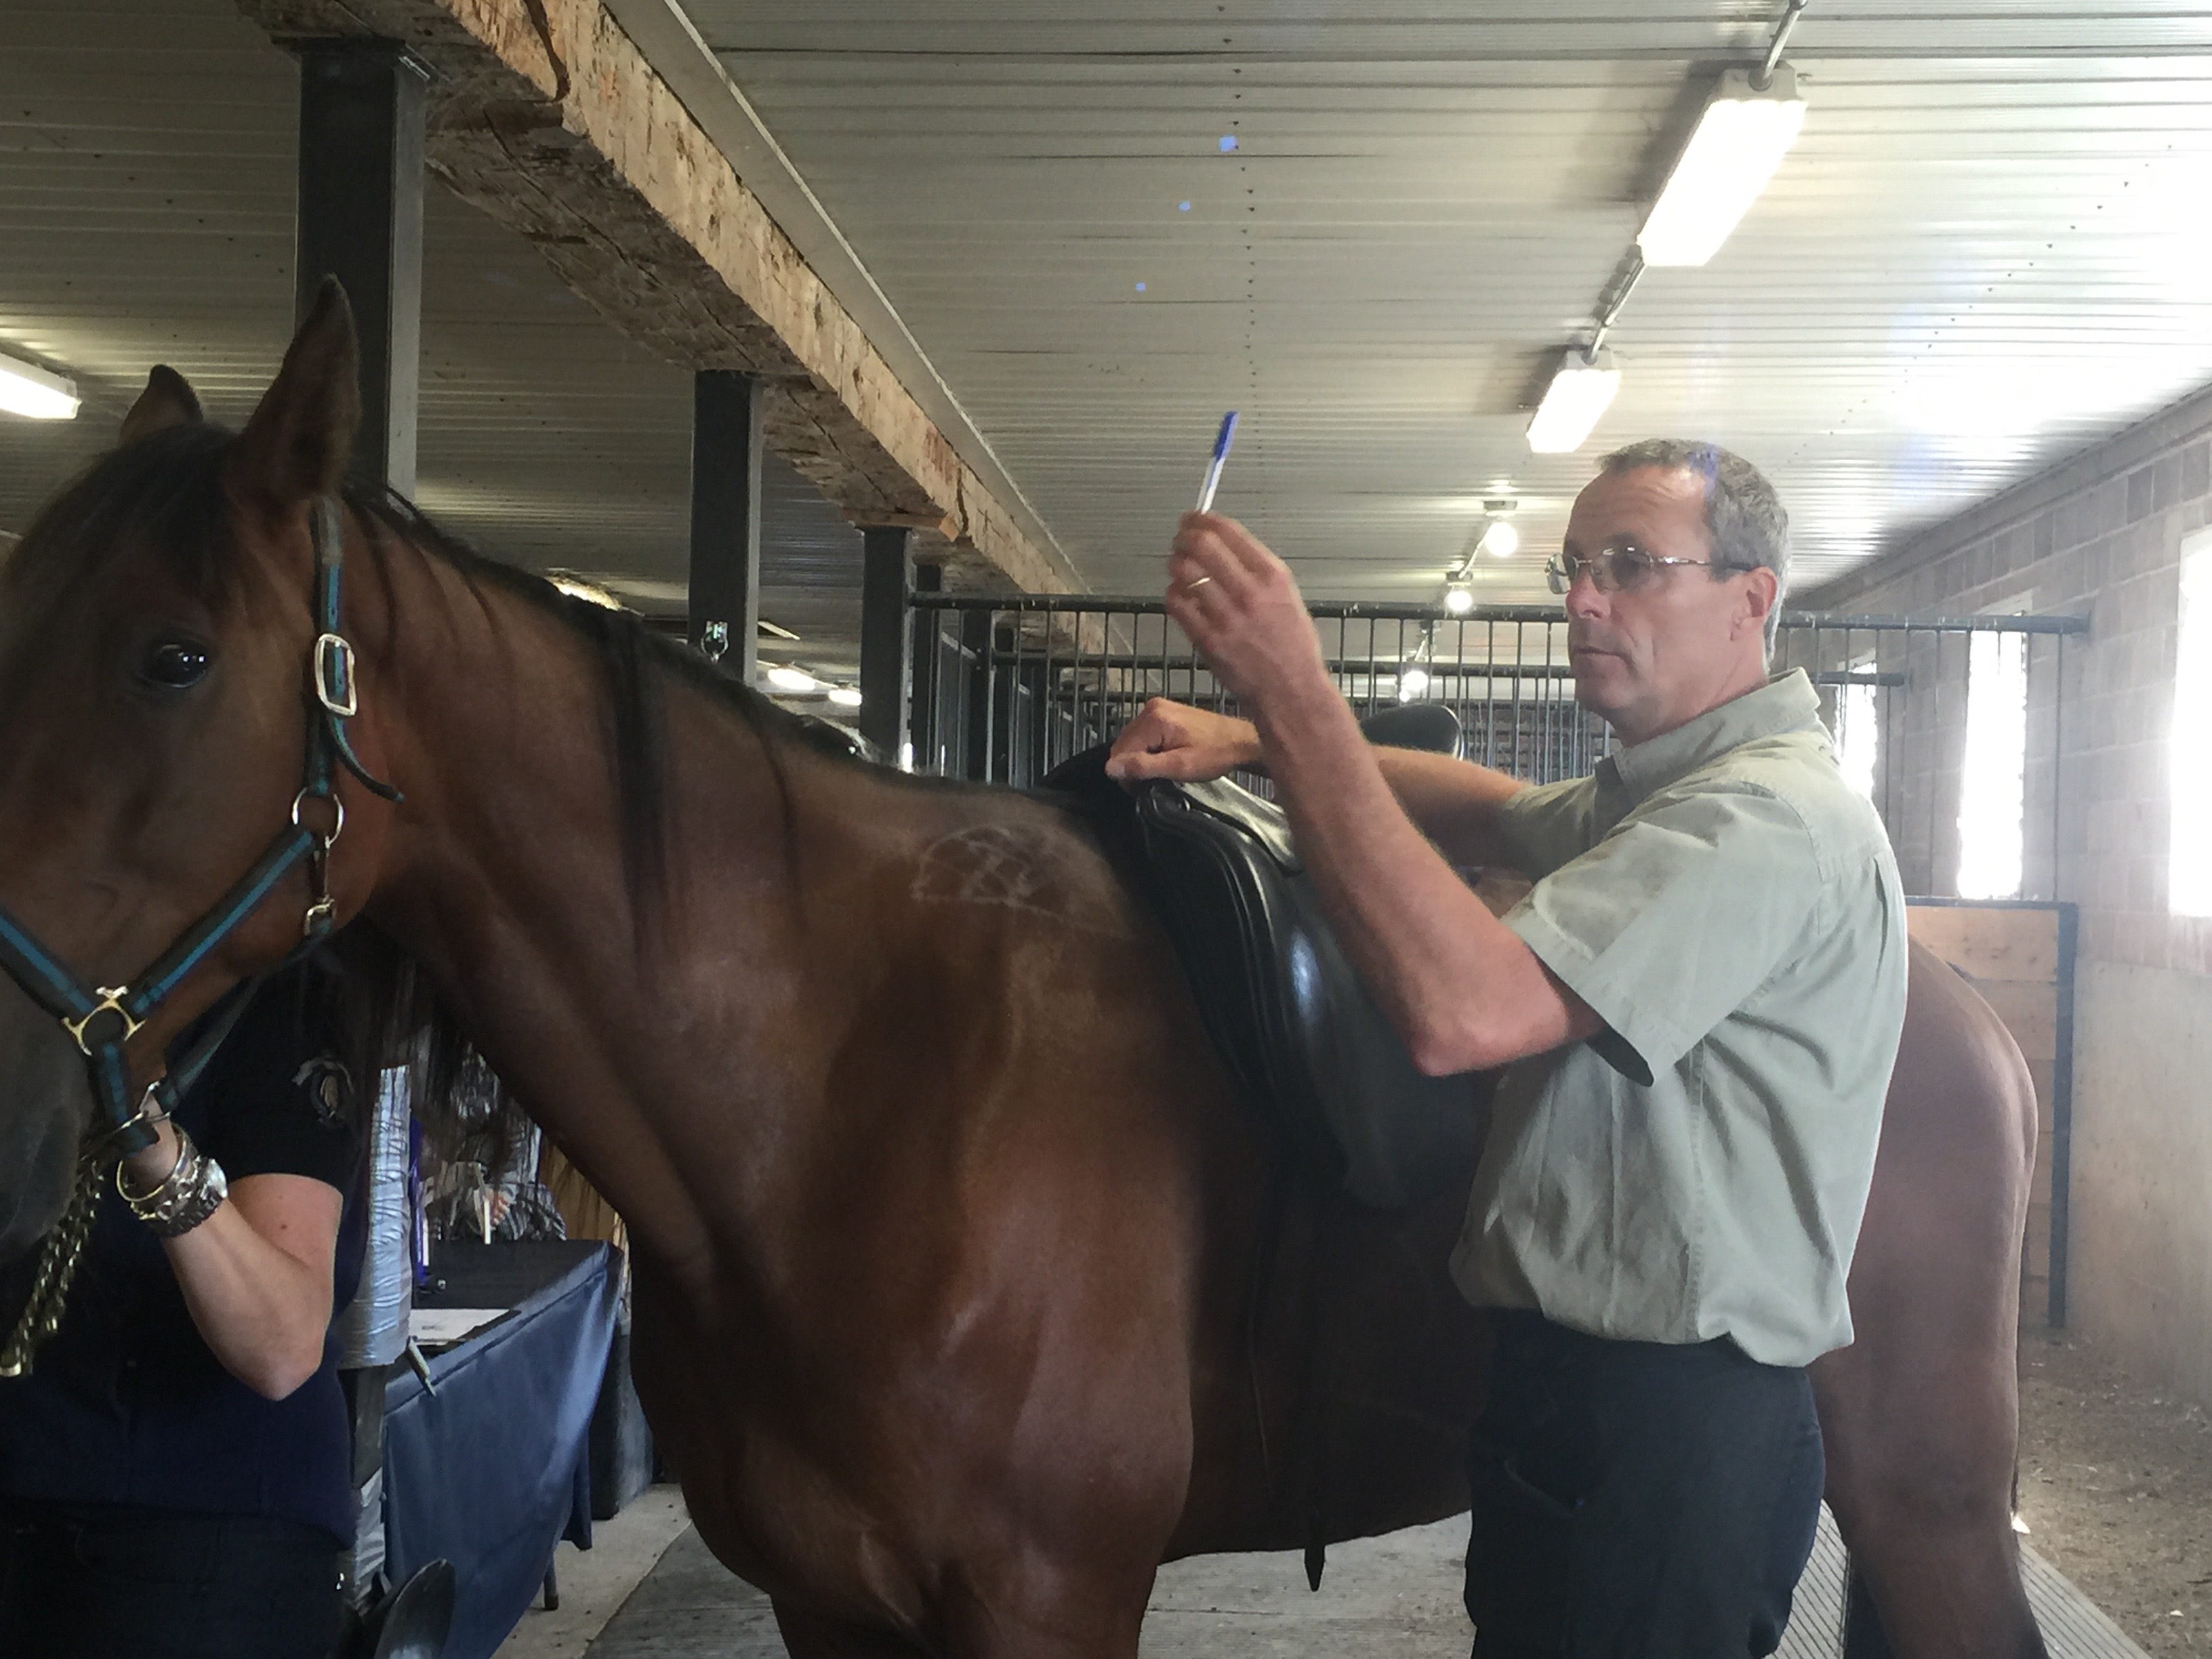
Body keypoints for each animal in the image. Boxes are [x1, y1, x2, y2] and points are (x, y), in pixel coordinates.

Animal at [0, 285, 2044, 1657]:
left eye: (176, 656)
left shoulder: (1047, 1598)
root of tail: (1952, 1003)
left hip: (1921, 1490)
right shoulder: (835, 1602)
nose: (18, 1105)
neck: (836, 1087)